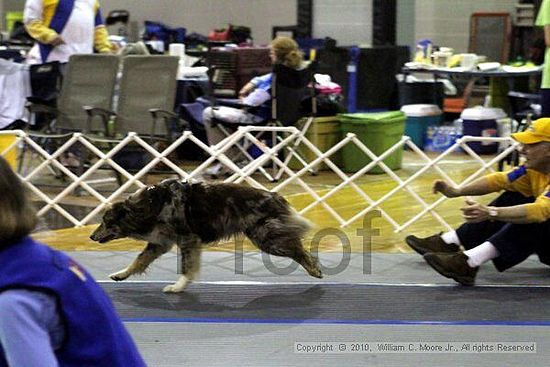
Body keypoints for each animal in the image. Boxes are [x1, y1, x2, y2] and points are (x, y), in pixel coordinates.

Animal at [90, 179, 324, 294]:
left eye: (106, 221)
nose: (92, 236)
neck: (149, 206)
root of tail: (275, 195)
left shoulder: (188, 240)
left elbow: (186, 267)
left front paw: (178, 287)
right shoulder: (160, 243)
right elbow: (139, 261)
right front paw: (120, 274)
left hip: (265, 238)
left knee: (298, 248)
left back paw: (314, 269)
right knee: (295, 243)